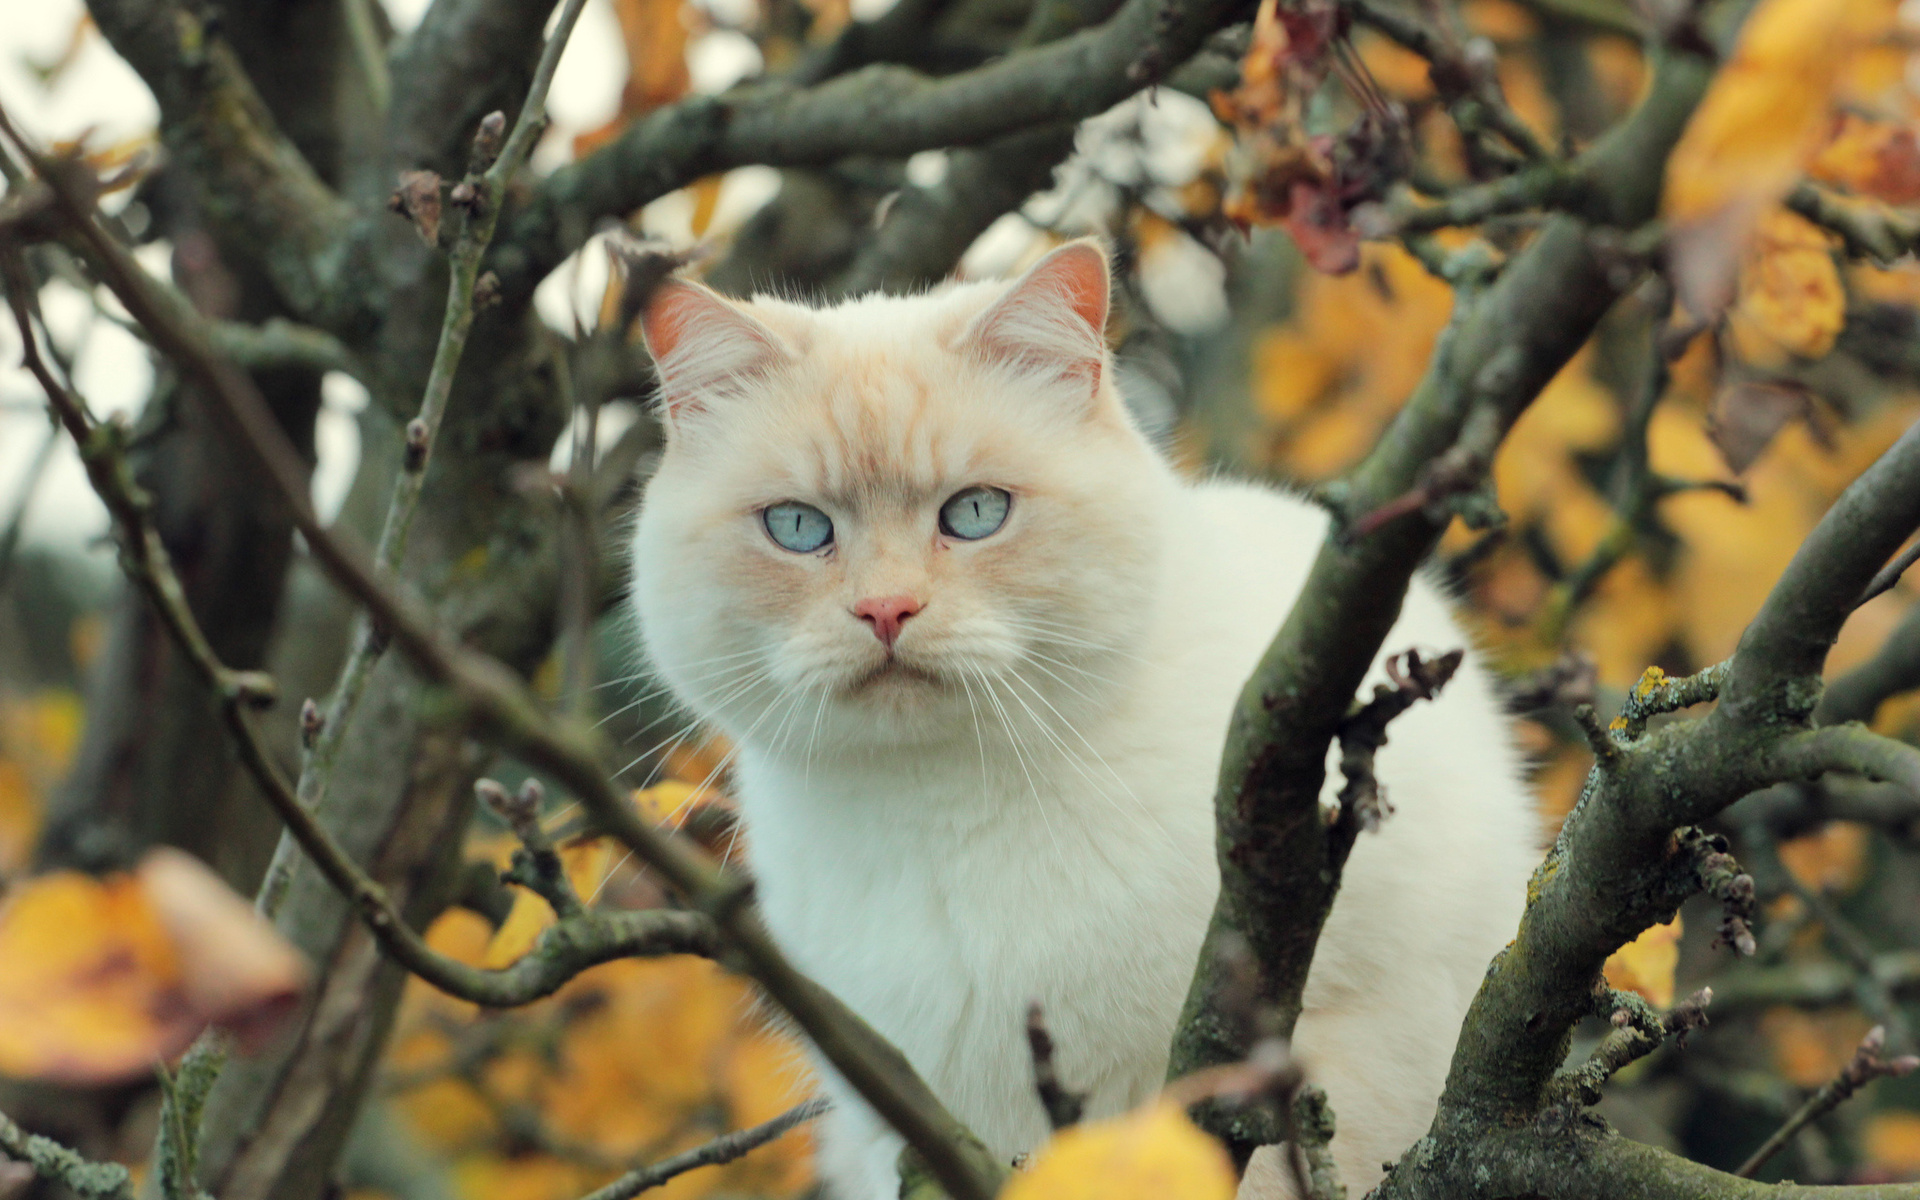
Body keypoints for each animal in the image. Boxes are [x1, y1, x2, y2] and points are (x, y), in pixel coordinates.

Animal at [629, 239, 1543, 1190]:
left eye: (976, 513)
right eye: (798, 528)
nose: (885, 610)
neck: (944, 806)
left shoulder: (1331, 1049)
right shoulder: (916, 1135)